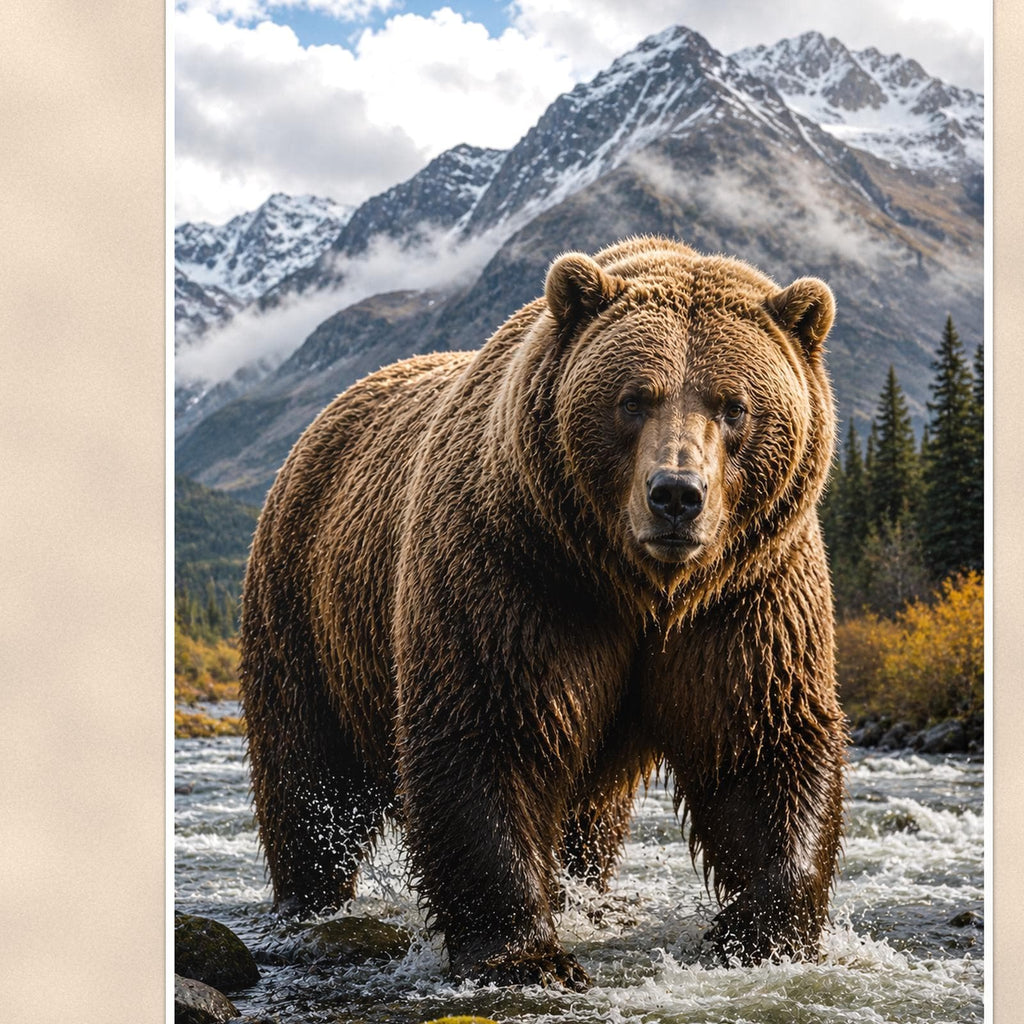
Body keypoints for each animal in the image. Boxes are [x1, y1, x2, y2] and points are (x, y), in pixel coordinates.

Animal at [239, 235, 847, 991]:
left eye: (733, 405)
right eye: (633, 399)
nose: (677, 494)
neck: (640, 588)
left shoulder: (746, 598)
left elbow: (761, 744)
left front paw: (762, 932)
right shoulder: (518, 576)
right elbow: (490, 732)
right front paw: (527, 955)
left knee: (590, 817)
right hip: (306, 607)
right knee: (307, 772)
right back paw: (309, 899)